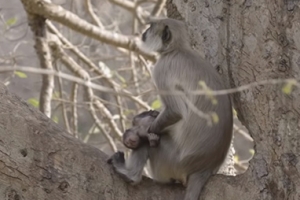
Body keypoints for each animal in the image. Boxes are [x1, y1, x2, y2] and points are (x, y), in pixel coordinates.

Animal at [108, 17, 234, 200]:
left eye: (151, 27)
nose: (144, 32)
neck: (178, 49)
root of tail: (205, 168)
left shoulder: (162, 68)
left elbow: (175, 111)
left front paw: (145, 127)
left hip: (171, 162)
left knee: (146, 143)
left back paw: (131, 173)